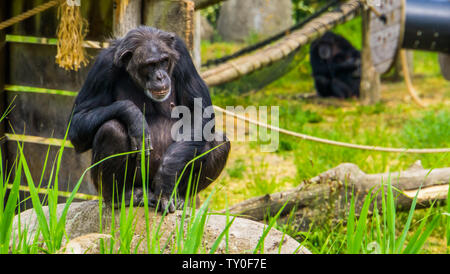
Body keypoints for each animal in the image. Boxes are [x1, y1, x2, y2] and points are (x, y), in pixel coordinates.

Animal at [70, 26, 232, 212]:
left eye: (163, 61)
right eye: (150, 65)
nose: (160, 76)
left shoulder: (183, 54)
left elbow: (199, 113)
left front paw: (166, 176)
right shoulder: (102, 66)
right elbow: (78, 120)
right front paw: (134, 116)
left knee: (219, 141)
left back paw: (179, 198)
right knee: (111, 129)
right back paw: (122, 197)